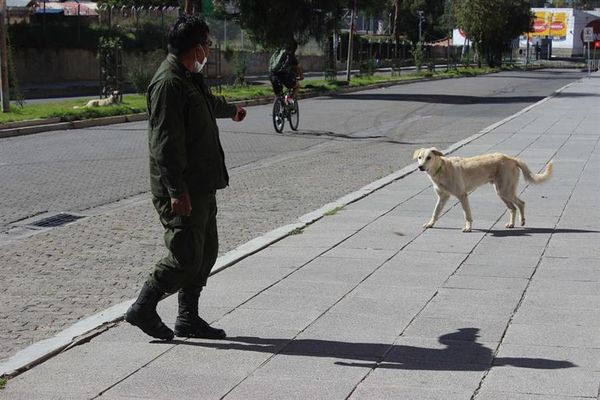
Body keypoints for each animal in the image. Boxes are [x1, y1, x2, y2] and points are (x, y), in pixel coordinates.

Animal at [412, 148, 552, 233]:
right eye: (419, 157)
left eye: (429, 157)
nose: (420, 167)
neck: (441, 169)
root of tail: (512, 159)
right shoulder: (442, 197)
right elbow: (435, 212)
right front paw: (430, 224)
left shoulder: (462, 195)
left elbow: (467, 214)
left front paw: (468, 228)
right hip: (501, 192)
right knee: (512, 208)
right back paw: (511, 224)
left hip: (505, 190)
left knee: (521, 203)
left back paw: (522, 221)